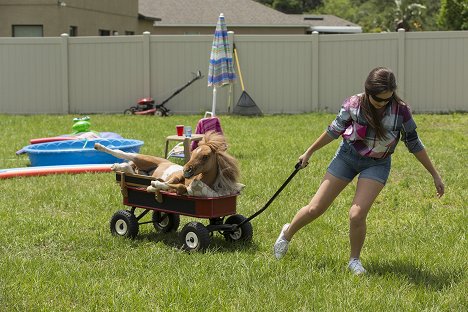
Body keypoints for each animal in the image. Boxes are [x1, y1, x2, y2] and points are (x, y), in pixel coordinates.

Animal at [94, 132, 241, 197]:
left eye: (205, 157)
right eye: (193, 152)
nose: (186, 169)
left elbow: (180, 188)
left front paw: (153, 186)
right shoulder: (176, 177)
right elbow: (171, 182)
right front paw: (153, 186)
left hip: (142, 170)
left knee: (131, 169)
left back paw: (117, 166)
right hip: (143, 159)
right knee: (122, 153)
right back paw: (99, 146)